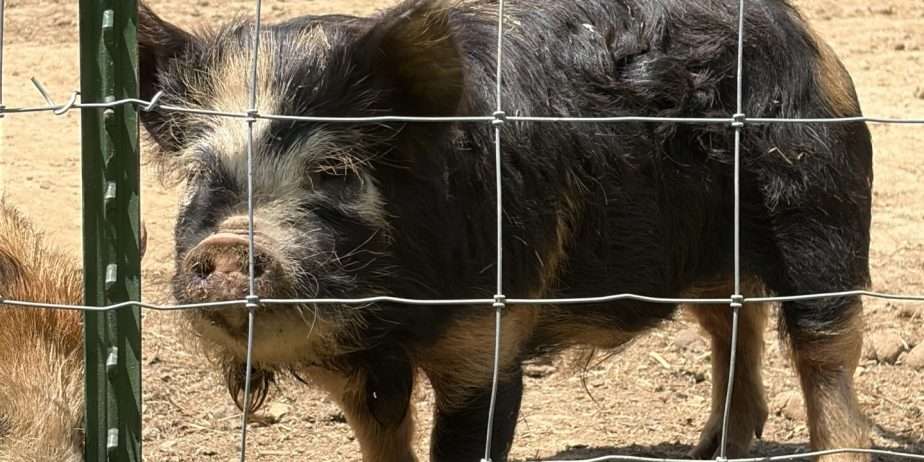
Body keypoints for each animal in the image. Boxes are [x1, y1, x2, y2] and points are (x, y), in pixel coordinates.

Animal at [138, 0, 873, 461]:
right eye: (202, 176)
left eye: (335, 170)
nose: (228, 245)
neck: (397, 321)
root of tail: (802, 31)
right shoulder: (361, 373)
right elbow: (383, 439)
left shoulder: (487, 336)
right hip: (703, 253)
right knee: (733, 321)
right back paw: (712, 449)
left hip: (819, 204)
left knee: (825, 352)